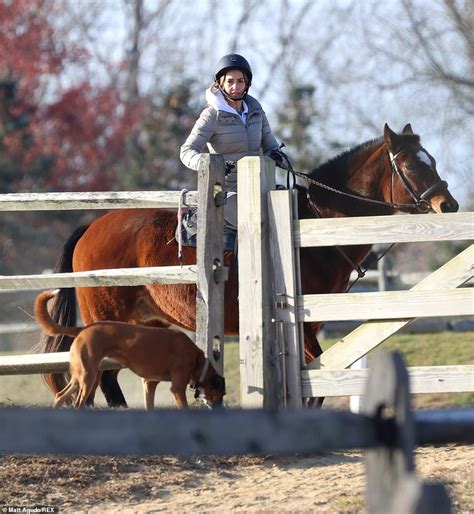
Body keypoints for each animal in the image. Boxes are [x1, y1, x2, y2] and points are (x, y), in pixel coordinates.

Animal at [35, 290, 224, 406]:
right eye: (220, 394)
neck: (197, 359)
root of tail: (83, 329)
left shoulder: (149, 383)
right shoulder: (177, 388)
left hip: (80, 376)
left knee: (60, 396)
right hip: (88, 377)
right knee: (78, 403)